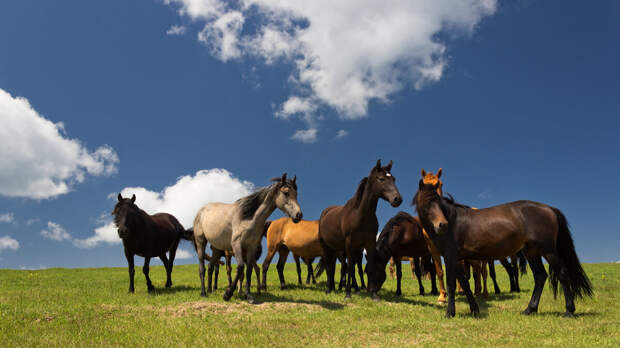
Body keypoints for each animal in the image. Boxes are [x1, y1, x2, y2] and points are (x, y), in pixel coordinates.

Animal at [193, 173, 302, 302]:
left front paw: (248, 295)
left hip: (216, 249)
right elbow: (240, 268)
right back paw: (203, 292)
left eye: (296, 194)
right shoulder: (236, 245)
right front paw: (228, 294)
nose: (299, 215)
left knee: (210, 267)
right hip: (201, 242)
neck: (248, 218)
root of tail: (201, 210)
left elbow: (249, 270)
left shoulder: (251, 247)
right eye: (286, 193)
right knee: (202, 268)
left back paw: (210, 290)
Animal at [320, 160, 402, 300]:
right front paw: (348, 294)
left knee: (332, 266)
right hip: (326, 247)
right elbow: (350, 269)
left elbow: (370, 268)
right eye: (381, 179)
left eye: (394, 179)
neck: (360, 215)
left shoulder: (369, 243)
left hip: (335, 249)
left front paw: (374, 295)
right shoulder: (349, 245)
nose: (397, 199)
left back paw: (333, 288)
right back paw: (328, 289)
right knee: (329, 267)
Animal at [414, 179, 592, 318]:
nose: (442, 225)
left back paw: (569, 311)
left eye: (438, 203)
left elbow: (452, 284)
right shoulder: (456, 258)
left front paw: (450, 312)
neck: (453, 221)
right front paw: (474, 309)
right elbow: (464, 283)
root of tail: (549, 209)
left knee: (562, 273)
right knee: (540, 276)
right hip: (531, 252)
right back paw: (530, 309)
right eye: (427, 202)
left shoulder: (450, 257)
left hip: (548, 251)